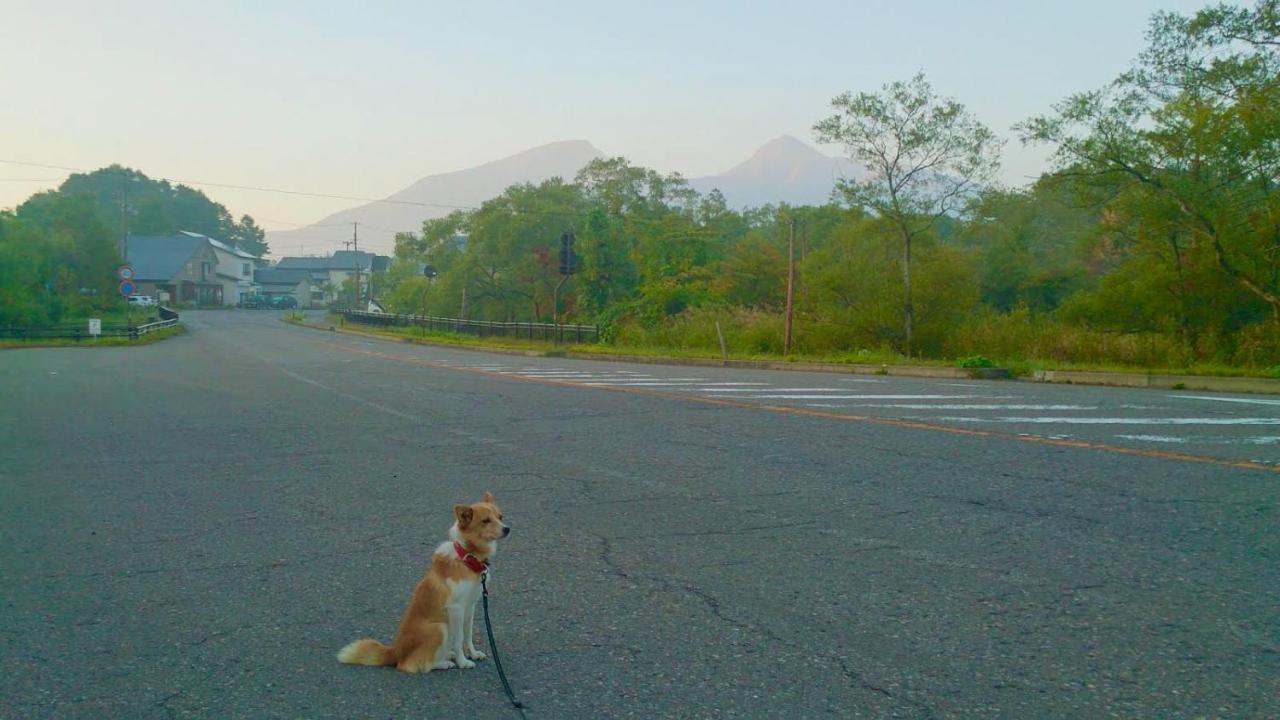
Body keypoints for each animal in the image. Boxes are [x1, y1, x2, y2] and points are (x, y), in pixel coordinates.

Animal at [340, 489, 509, 671]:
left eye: (500, 517)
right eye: (486, 521)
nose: (507, 529)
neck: (467, 556)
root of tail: (396, 651)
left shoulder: (470, 605)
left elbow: (468, 634)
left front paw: (473, 653)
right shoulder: (456, 608)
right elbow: (458, 640)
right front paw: (463, 661)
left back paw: (448, 656)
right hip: (440, 628)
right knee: (412, 665)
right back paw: (445, 663)